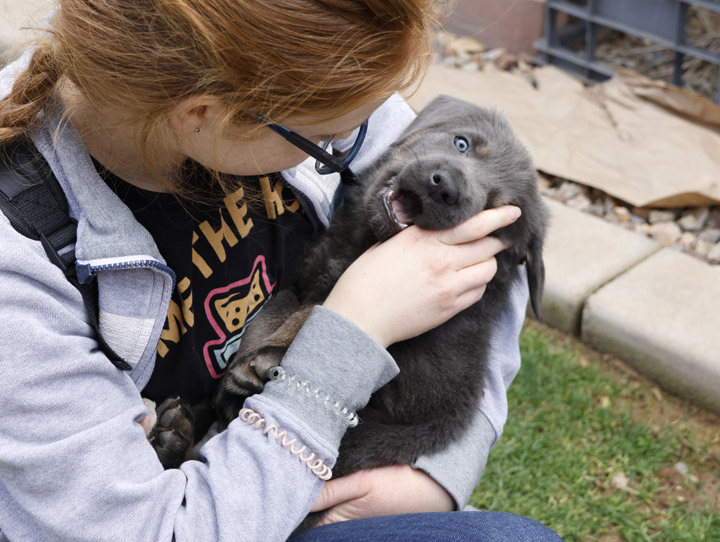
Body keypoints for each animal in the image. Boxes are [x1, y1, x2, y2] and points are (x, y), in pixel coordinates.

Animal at [214, 94, 544, 532]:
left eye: (497, 209)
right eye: (462, 144)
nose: (446, 187)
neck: (360, 244)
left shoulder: (417, 368)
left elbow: (321, 311)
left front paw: (266, 359)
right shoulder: (299, 283)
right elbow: (280, 307)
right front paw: (247, 364)